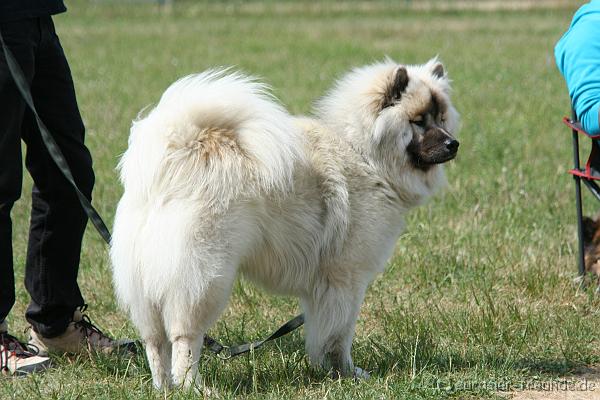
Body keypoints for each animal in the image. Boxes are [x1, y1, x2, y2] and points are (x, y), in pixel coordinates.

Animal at [111, 57, 460, 390]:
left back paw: (163, 386)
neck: (364, 154)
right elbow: (339, 334)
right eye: (418, 121)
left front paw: (329, 371)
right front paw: (345, 373)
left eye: (442, 118)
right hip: (205, 280)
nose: (453, 144)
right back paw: (192, 387)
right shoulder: (345, 279)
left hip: (147, 287)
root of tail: (173, 155)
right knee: (184, 338)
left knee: (155, 342)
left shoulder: (323, 287)